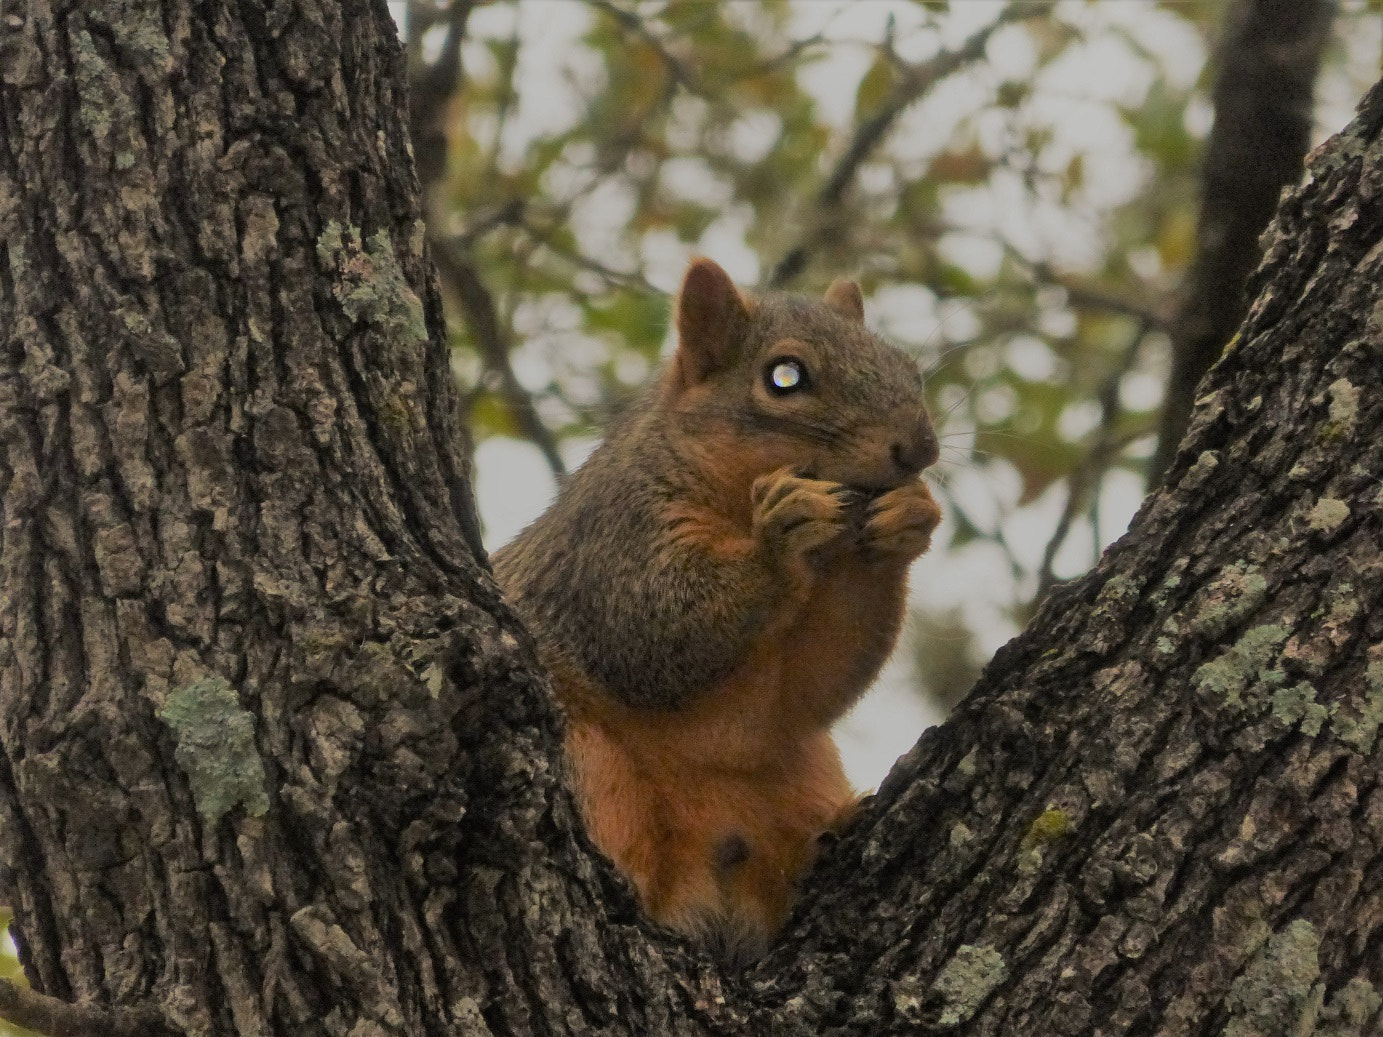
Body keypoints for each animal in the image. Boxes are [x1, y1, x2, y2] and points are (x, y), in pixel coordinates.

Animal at [489, 259, 940, 967]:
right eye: (785, 377)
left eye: (909, 369)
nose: (919, 450)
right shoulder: (615, 543)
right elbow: (652, 632)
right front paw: (778, 540)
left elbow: (812, 686)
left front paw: (909, 518)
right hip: (588, 760)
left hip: (797, 778)